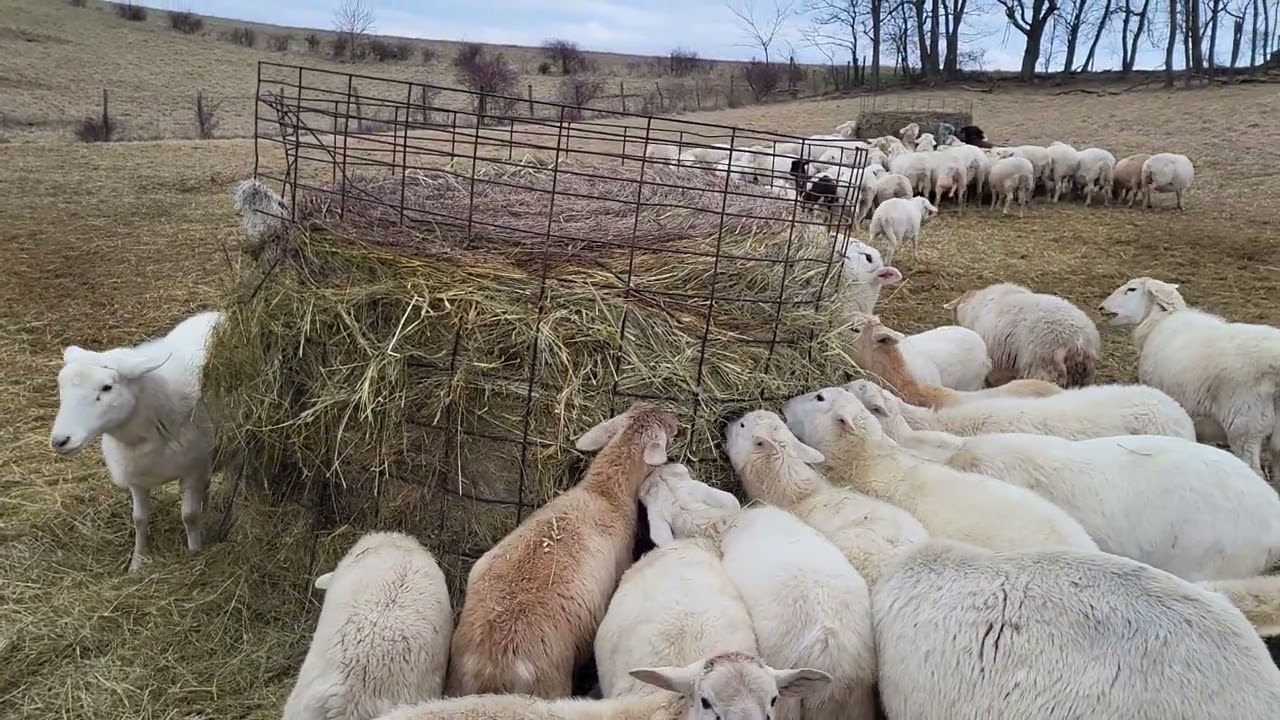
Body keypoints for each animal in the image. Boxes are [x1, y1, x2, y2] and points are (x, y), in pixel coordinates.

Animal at [51, 310, 223, 573]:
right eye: (61, 386)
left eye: (107, 387)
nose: (60, 440)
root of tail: (219, 312)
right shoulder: (136, 476)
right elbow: (139, 519)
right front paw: (137, 561)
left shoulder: (193, 468)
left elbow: (189, 516)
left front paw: (195, 552)